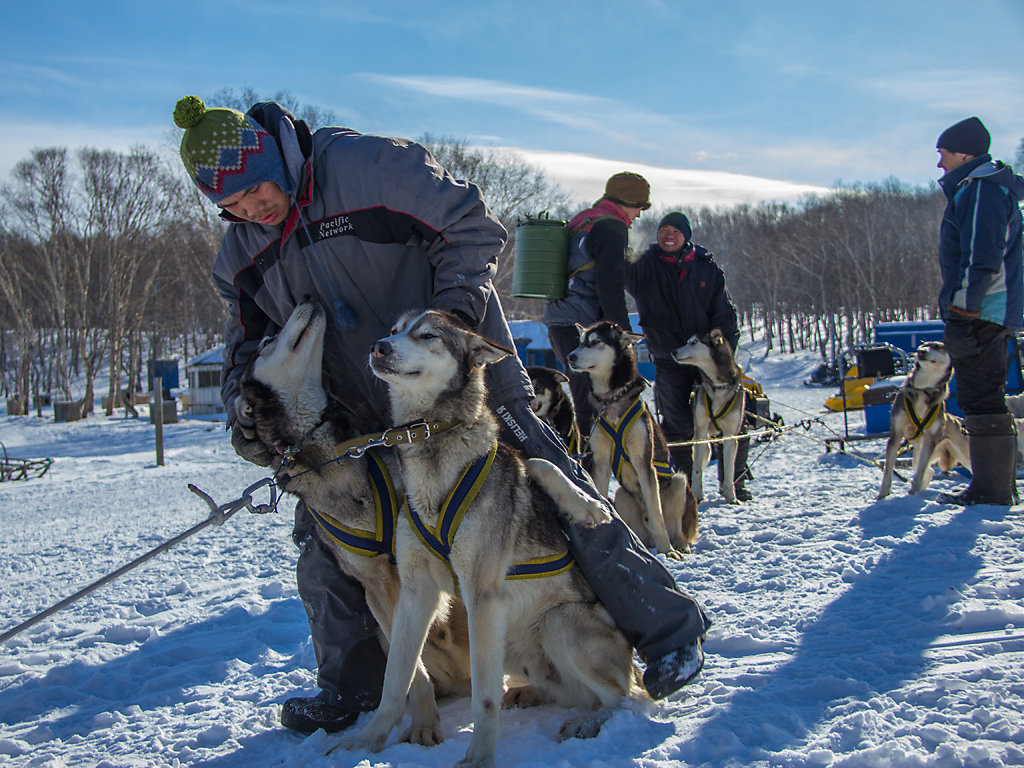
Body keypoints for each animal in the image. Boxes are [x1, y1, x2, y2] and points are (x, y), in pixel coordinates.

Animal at [235, 301, 471, 745]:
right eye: (267, 340)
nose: (306, 297)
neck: (328, 455)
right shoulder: (375, 585)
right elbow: (410, 670)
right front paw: (423, 720)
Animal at [348, 309, 643, 768]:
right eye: (396, 330)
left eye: (428, 335)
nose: (379, 346)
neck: (432, 439)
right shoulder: (414, 594)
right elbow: (397, 679)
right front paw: (367, 741)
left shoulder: (482, 597)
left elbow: (483, 700)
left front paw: (479, 757)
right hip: (518, 650)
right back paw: (532, 695)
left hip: (558, 623)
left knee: (624, 701)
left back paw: (587, 724)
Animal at [565, 321, 700, 557]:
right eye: (581, 342)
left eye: (595, 342)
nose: (570, 357)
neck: (611, 400)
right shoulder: (600, 462)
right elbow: (599, 492)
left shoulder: (643, 462)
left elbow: (657, 516)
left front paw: (667, 551)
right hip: (622, 495)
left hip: (678, 483)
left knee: (673, 525)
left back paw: (677, 545)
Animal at [675, 329, 749, 505]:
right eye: (687, 341)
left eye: (694, 342)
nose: (673, 352)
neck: (719, 386)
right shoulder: (701, 433)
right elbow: (696, 471)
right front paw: (698, 495)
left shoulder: (730, 436)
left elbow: (729, 470)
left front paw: (731, 497)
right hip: (703, 445)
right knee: (698, 466)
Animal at [876, 342, 970, 499]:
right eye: (923, 345)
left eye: (938, 347)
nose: (921, 351)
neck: (923, 388)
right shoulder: (896, 436)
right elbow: (888, 472)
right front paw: (882, 496)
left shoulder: (929, 440)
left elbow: (920, 472)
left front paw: (913, 493)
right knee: (929, 471)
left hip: (961, 453)